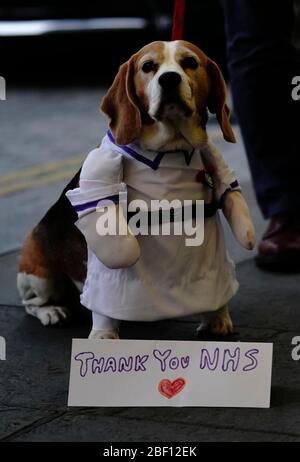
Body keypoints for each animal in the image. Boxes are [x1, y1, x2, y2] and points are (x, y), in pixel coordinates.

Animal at [17, 40, 255, 336]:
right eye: (148, 66)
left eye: (190, 62)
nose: (169, 78)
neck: (171, 150)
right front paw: (104, 334)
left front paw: (216, 317)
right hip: (38, 273)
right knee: (32, 303)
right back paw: (52, 311)